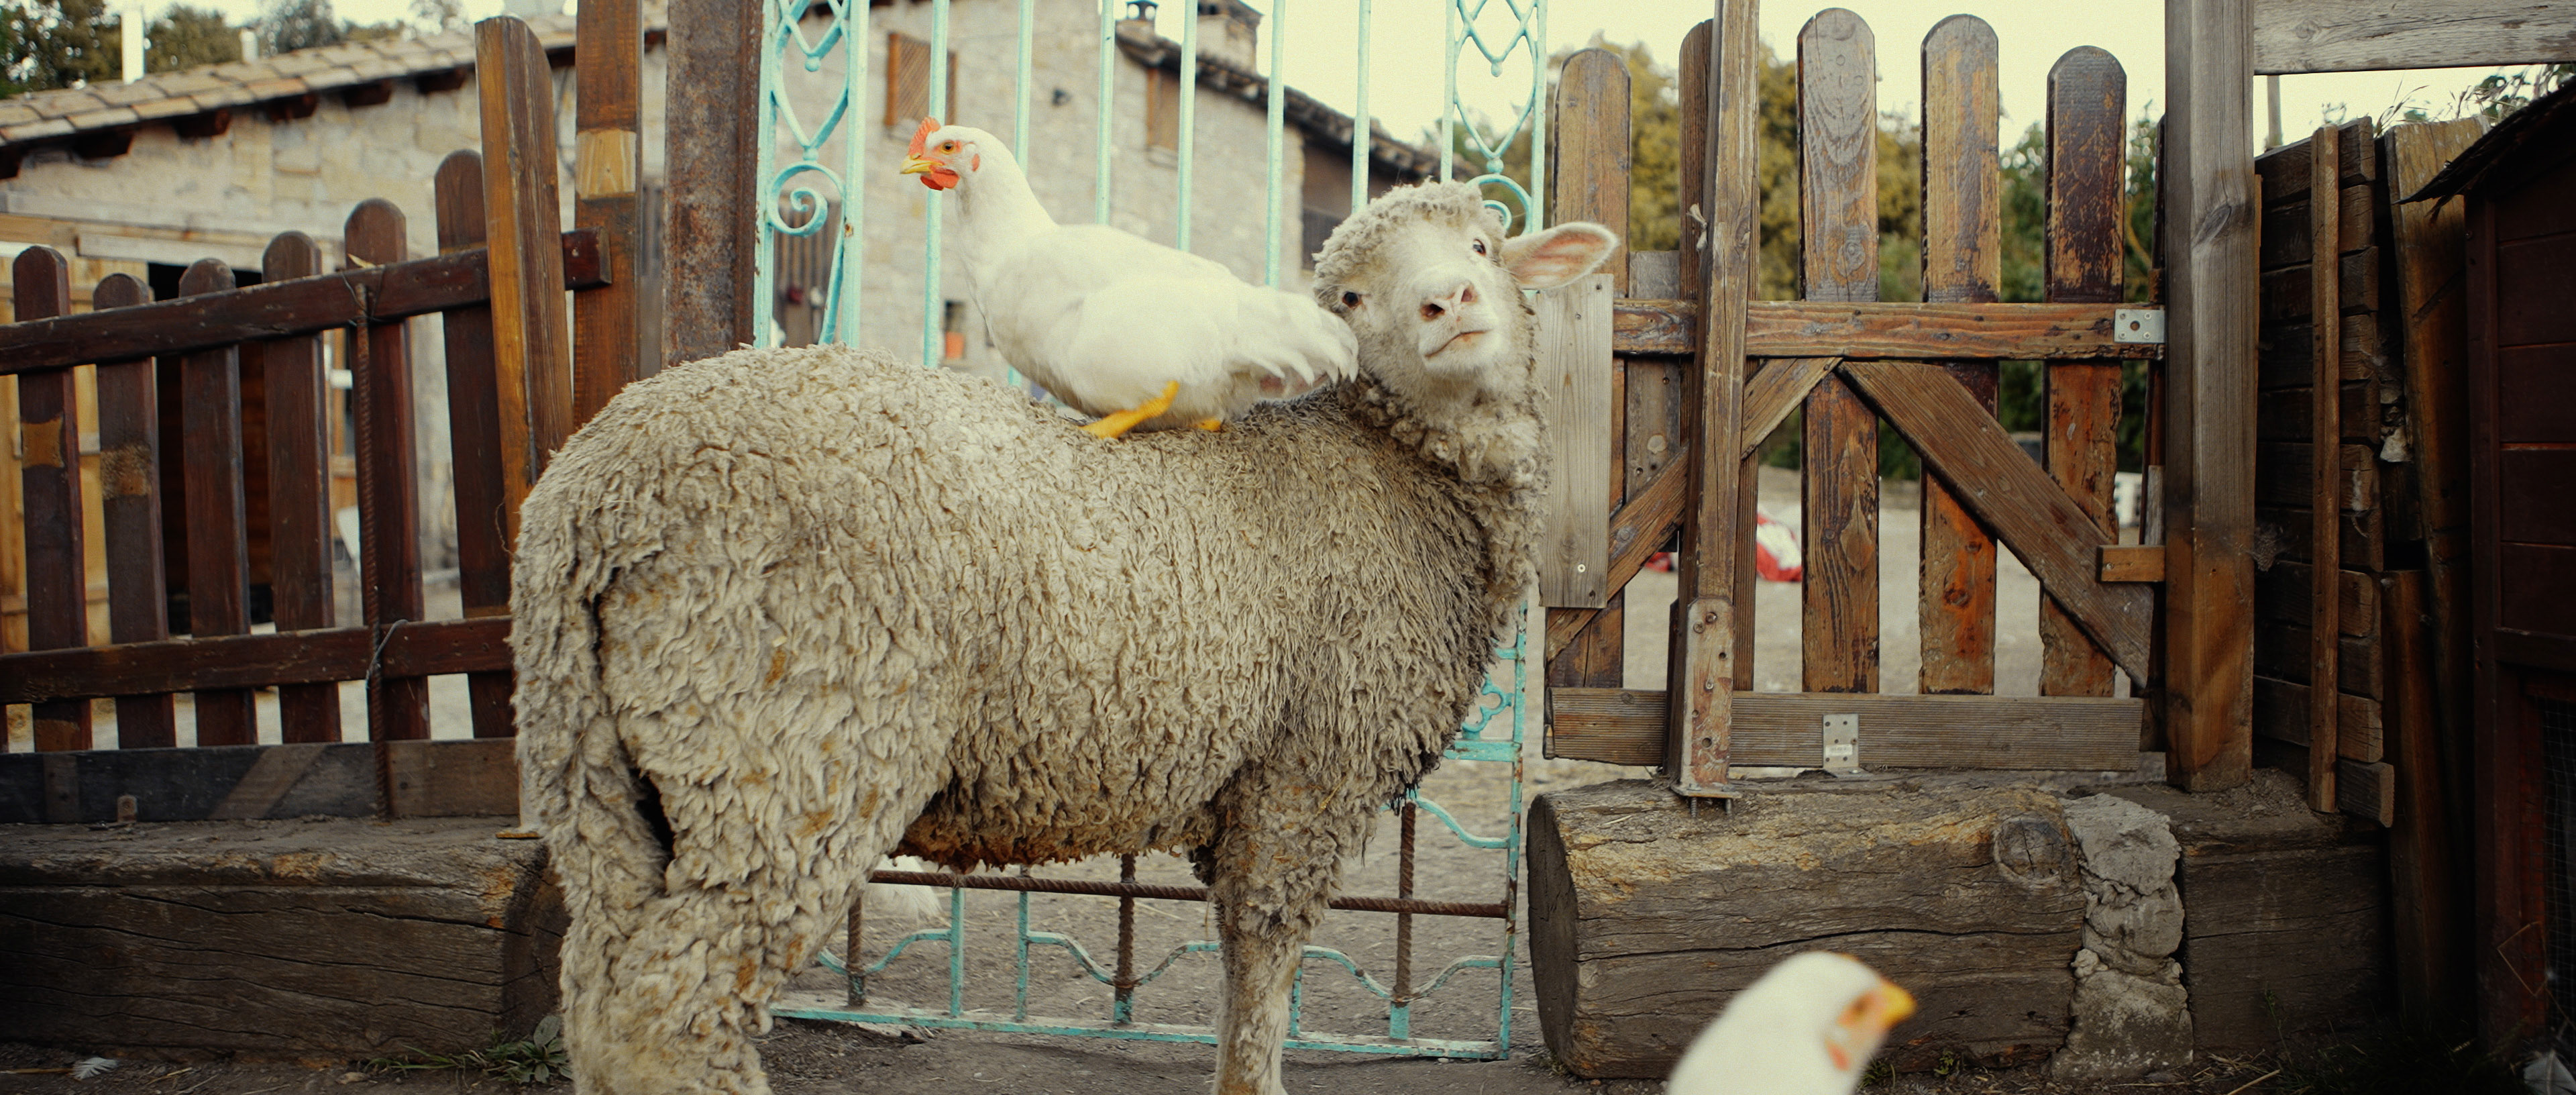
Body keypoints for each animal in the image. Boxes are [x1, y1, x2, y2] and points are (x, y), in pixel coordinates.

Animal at [509, 181, 1617, 1095]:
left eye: (1483, 244)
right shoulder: (1308, 776)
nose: (1450, 304)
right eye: (1350, 296)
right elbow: (1266, 969)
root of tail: (592, 486)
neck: (1400, 476)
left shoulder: (1256, 792)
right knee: (670, 1009)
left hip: (603, 766)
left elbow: (1239, 967)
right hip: (793, 743)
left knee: (598, 994)